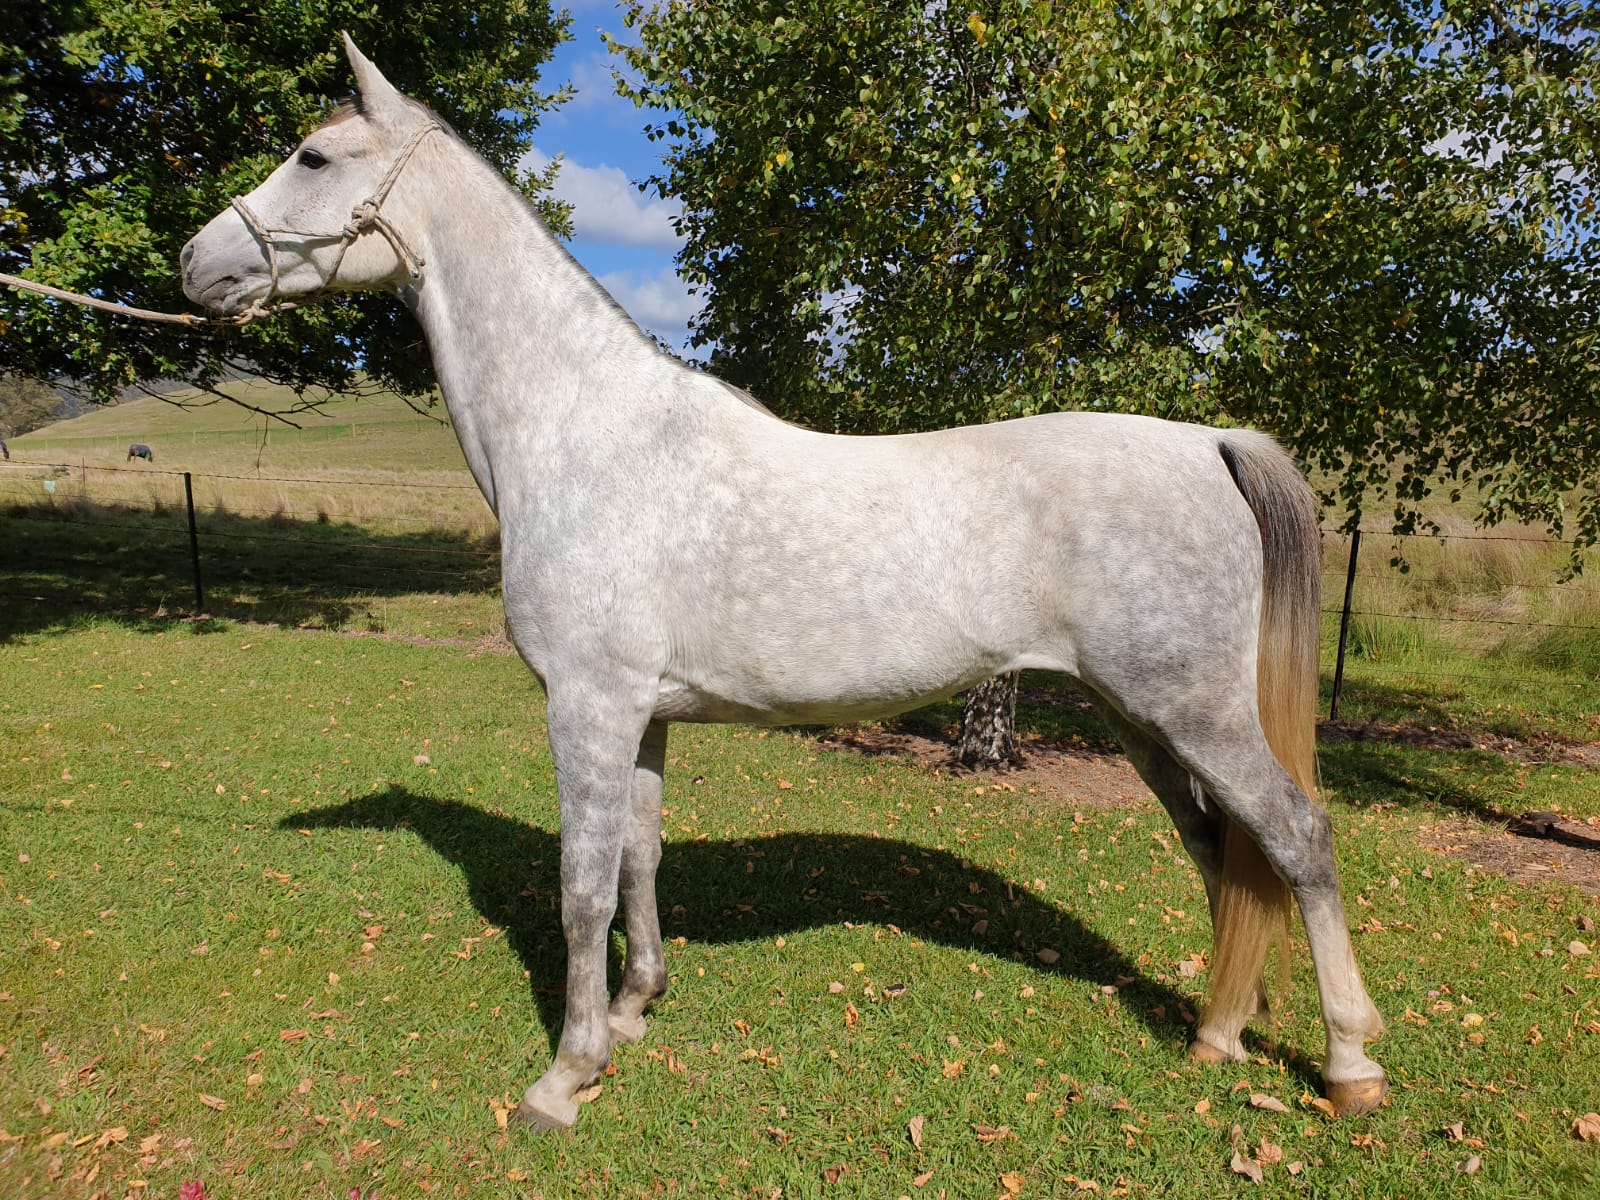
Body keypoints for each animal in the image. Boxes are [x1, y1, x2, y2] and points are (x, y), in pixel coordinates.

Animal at [180, 37, 1388, 1132]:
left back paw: (1348, 1063)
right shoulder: (644, 715)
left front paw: (565, 1077)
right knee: (1225, 851)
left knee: (1299, 838)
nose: (195, 266)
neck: (588, 437)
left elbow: (580, 887)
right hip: (1144, 720)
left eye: (314, 155)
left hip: (1193, 710)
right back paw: (1222, 1027)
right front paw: (635, 1010)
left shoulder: (587, 706)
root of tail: (1209, 443)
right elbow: (640, 860)